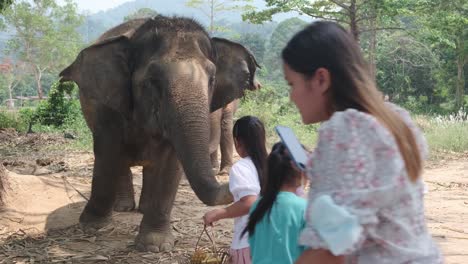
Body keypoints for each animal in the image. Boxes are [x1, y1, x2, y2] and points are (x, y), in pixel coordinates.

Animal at [59, 15, 260, 253]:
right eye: (153, 80)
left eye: (212, 79)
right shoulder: (107, 106)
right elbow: (108, 151)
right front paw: (91, 226)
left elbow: (170, 162)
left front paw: (155, 245)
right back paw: (123, 208)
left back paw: (143, 208)